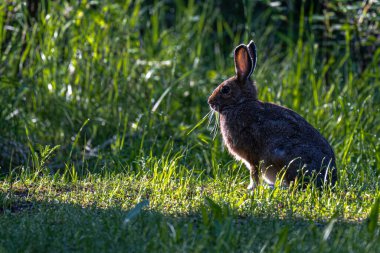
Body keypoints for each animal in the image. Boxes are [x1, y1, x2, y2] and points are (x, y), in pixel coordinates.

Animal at [208, 40, 338, 190]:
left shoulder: (253, 156)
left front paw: (251, 188)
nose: (210, 101)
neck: (240, 103)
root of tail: (330, 180)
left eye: (225, 89)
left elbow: (254, 173)